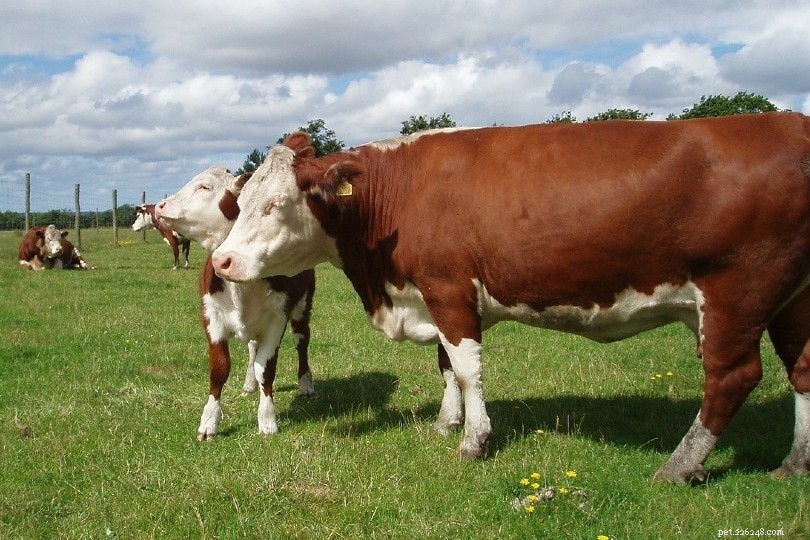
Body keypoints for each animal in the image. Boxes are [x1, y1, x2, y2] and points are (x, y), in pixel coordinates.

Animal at [153, 167, 316, 440]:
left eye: (205, 187)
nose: (159, 206)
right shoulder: (211, 317)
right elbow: (219, 369)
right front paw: (209, 422)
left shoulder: (277, 319)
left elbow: (266, 368)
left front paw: (267, 419)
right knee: (252, 349)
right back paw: (249, 385)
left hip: (302, 306)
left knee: (301, 341)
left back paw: (305, 383)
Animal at [209, 112, 810, 483]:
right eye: (240, 202)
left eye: (276, 204)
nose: (222, 261)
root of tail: (789, 122)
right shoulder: (438, 297)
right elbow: (446, 365)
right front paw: (447, 422)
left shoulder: (449, 289)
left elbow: (467, 367)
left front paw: (474, 441)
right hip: (792, 301)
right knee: (800, 369)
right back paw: (794, 462)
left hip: (737, 291)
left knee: (733, 377)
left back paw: (680, 465)